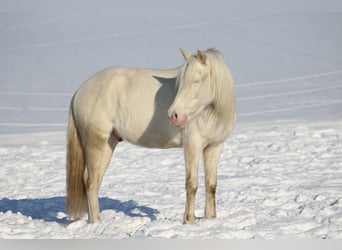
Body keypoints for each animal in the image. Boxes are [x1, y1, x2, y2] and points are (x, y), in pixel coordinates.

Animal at [68, 47, 236, 224]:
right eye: (180, 82)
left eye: (197, 80)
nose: (174, 115)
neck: (210, 112)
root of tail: (80, 91)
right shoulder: (192, 146)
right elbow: (192, 184)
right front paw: (189, 220)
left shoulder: (215, 147)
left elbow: (211, 184)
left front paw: (211, 218)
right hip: (95, 142)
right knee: (90, 181)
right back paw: (96, 222)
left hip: (108, 143)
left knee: (95, 179)